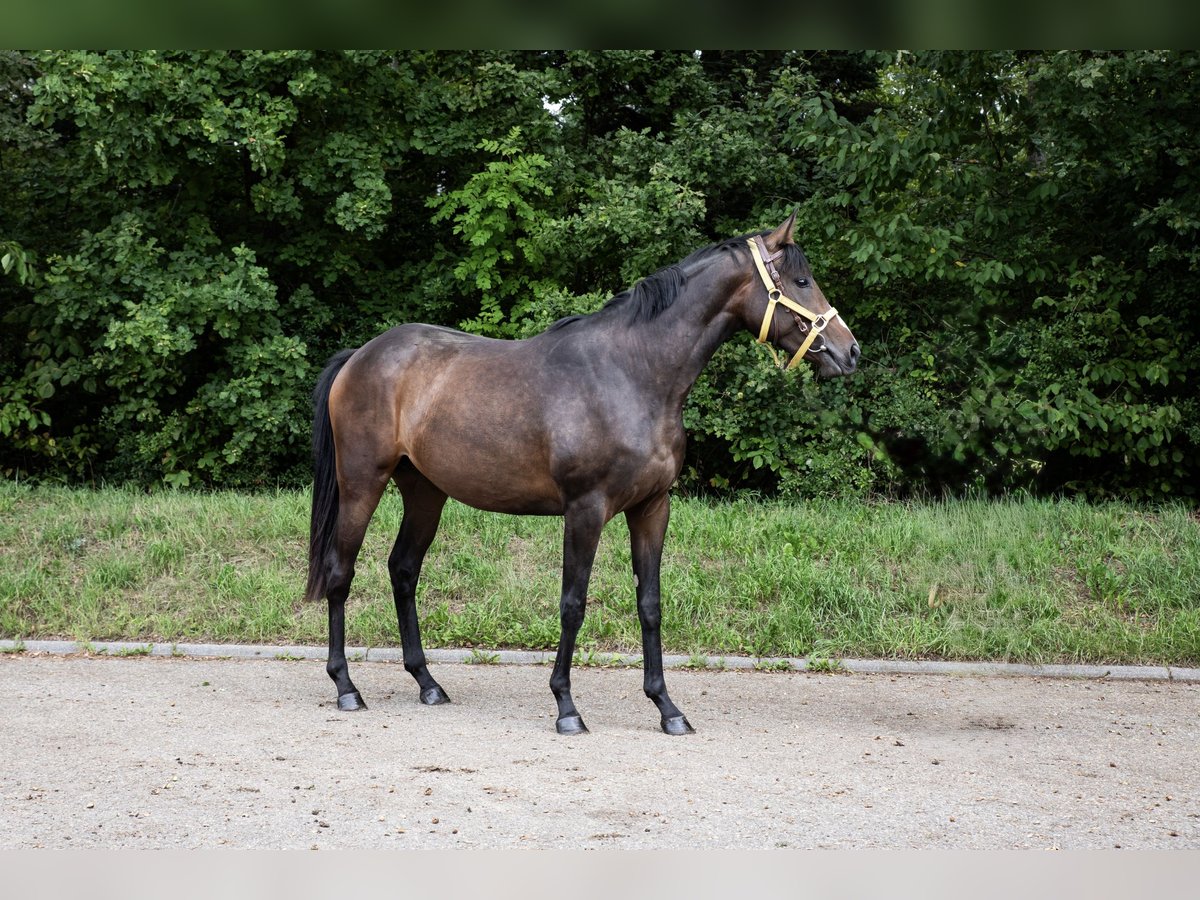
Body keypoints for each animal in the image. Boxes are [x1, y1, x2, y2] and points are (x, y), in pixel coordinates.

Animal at [305, 211, 859, 735]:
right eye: (802, 280)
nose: (849, 351)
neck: (633, 373)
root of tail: (360, 356)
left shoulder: (652, 508)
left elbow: (650, 603)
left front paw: (666, 708)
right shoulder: (585, 511)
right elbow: (573, 603)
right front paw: (566, 707)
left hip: (425, 494)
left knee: (403, 570)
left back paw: (427, 683)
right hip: (362, 485)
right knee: (340, 572)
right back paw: (346, 687)